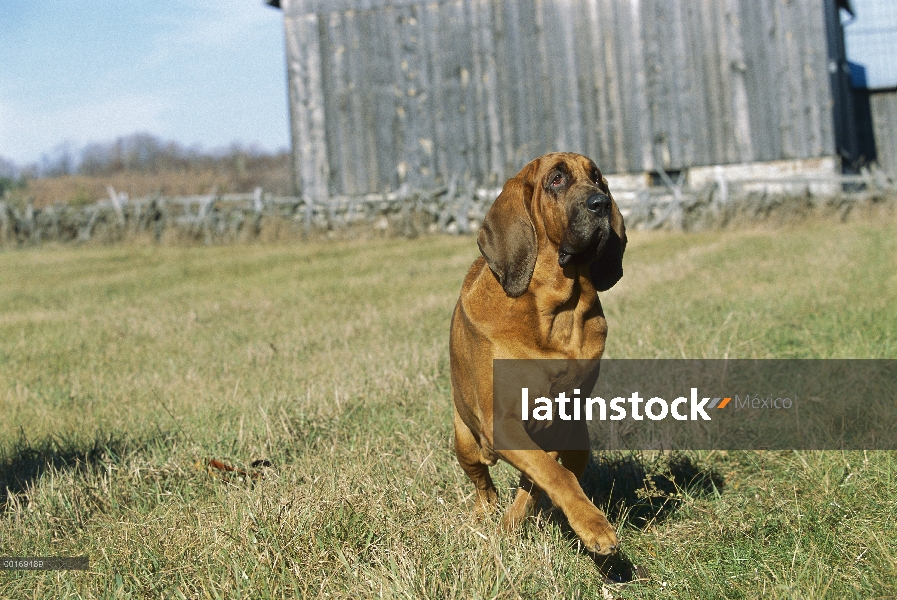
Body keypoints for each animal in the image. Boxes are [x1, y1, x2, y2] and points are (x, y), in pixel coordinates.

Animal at [446, 152, 624, 556]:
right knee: (483, 483)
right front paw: (594, 526)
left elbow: (547, 474)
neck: (557, 311)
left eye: (597, 178)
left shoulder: (566, 423)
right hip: (465, 440)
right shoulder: (501, 423)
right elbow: (551, 473)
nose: (602, 204)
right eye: (556, 179)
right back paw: (486, 513)